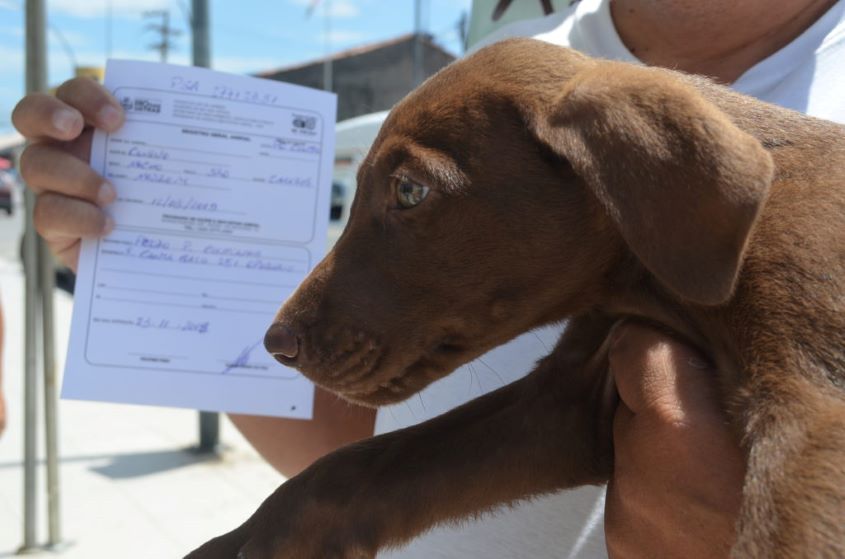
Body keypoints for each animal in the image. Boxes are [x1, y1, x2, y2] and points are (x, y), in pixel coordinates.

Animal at [190, 40, 844, 559]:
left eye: (410, 190)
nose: (276, 343)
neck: (653, 289)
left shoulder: (814, 411)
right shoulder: (564, 403)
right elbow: (365, 465)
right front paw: (247, 540)